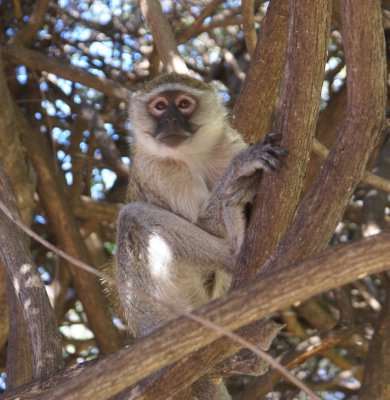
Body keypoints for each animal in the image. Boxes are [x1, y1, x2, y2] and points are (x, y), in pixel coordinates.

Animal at [114, 73, 284, 398]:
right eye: (159, 106)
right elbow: (205, 224)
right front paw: (241, 170)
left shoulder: (228, 143)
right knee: (131, 217)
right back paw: (233, 250)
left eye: (183, 104)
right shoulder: (158, 169)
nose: (170, 119)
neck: (192, 155)